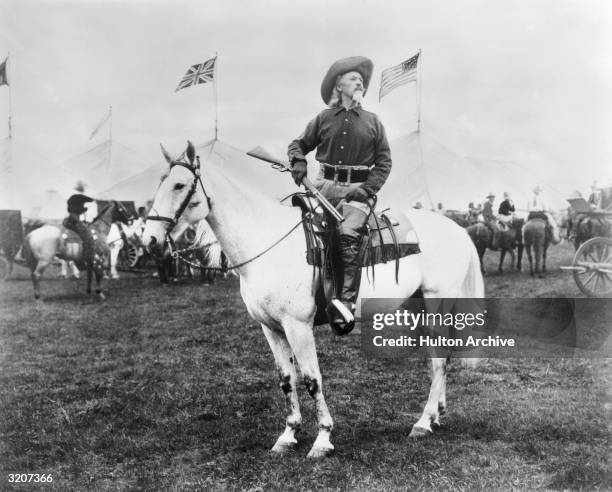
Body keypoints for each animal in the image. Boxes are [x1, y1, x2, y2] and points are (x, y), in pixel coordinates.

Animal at [143, 143, 482, 462]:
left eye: (179, 185)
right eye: (159, 182)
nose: (149, 239)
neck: (266, 241)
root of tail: (458, 229)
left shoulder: (298, 327)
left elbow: (311, 379)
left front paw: (323, 439)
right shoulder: (271, 329)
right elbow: (286, 379)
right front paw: (288, 434)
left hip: (438, 302)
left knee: (439, 360)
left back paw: (423, 422)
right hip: (418, 305)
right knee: (438, 357)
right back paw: (436, 414)